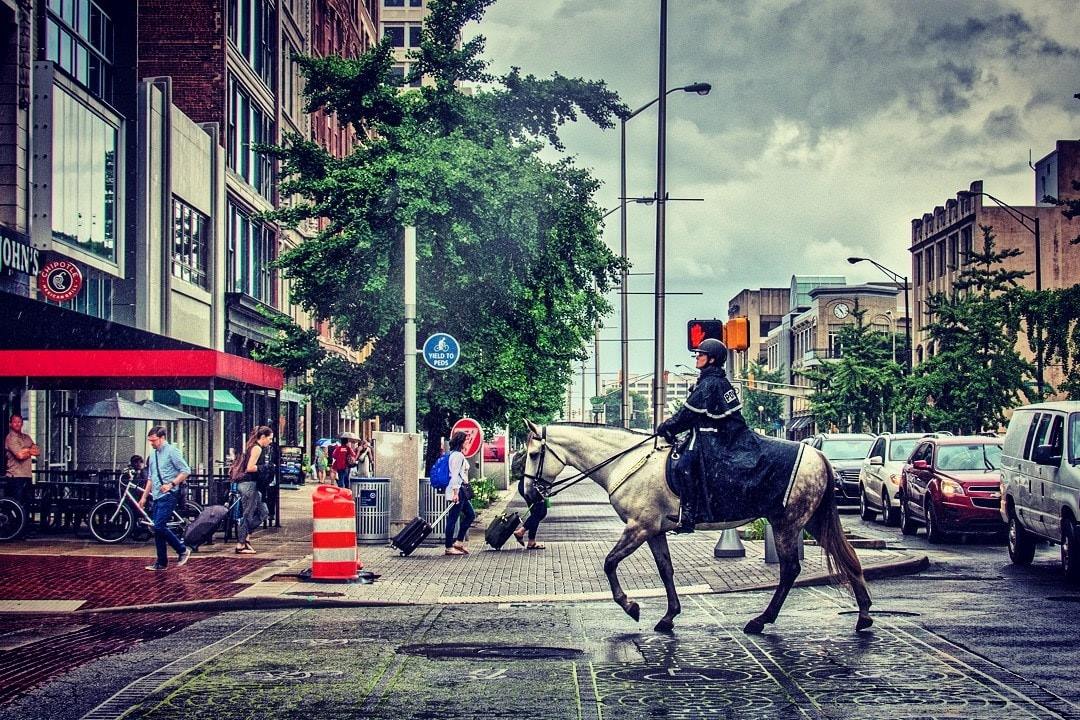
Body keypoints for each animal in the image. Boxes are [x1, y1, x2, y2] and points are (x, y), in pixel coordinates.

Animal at [518, 423, 872, 634]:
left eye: (534, 454)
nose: (528, 493)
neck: (625, 462)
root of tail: (819, 454)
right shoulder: (654, 531)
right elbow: (665, 570)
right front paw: (669, 615)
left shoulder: (638, 528)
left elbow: (609, 563)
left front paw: (631, 606)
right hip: (810, 520)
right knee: (848, 556)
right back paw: (864, 614)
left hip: (787, 523)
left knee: (790, 570)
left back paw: (761, 620)